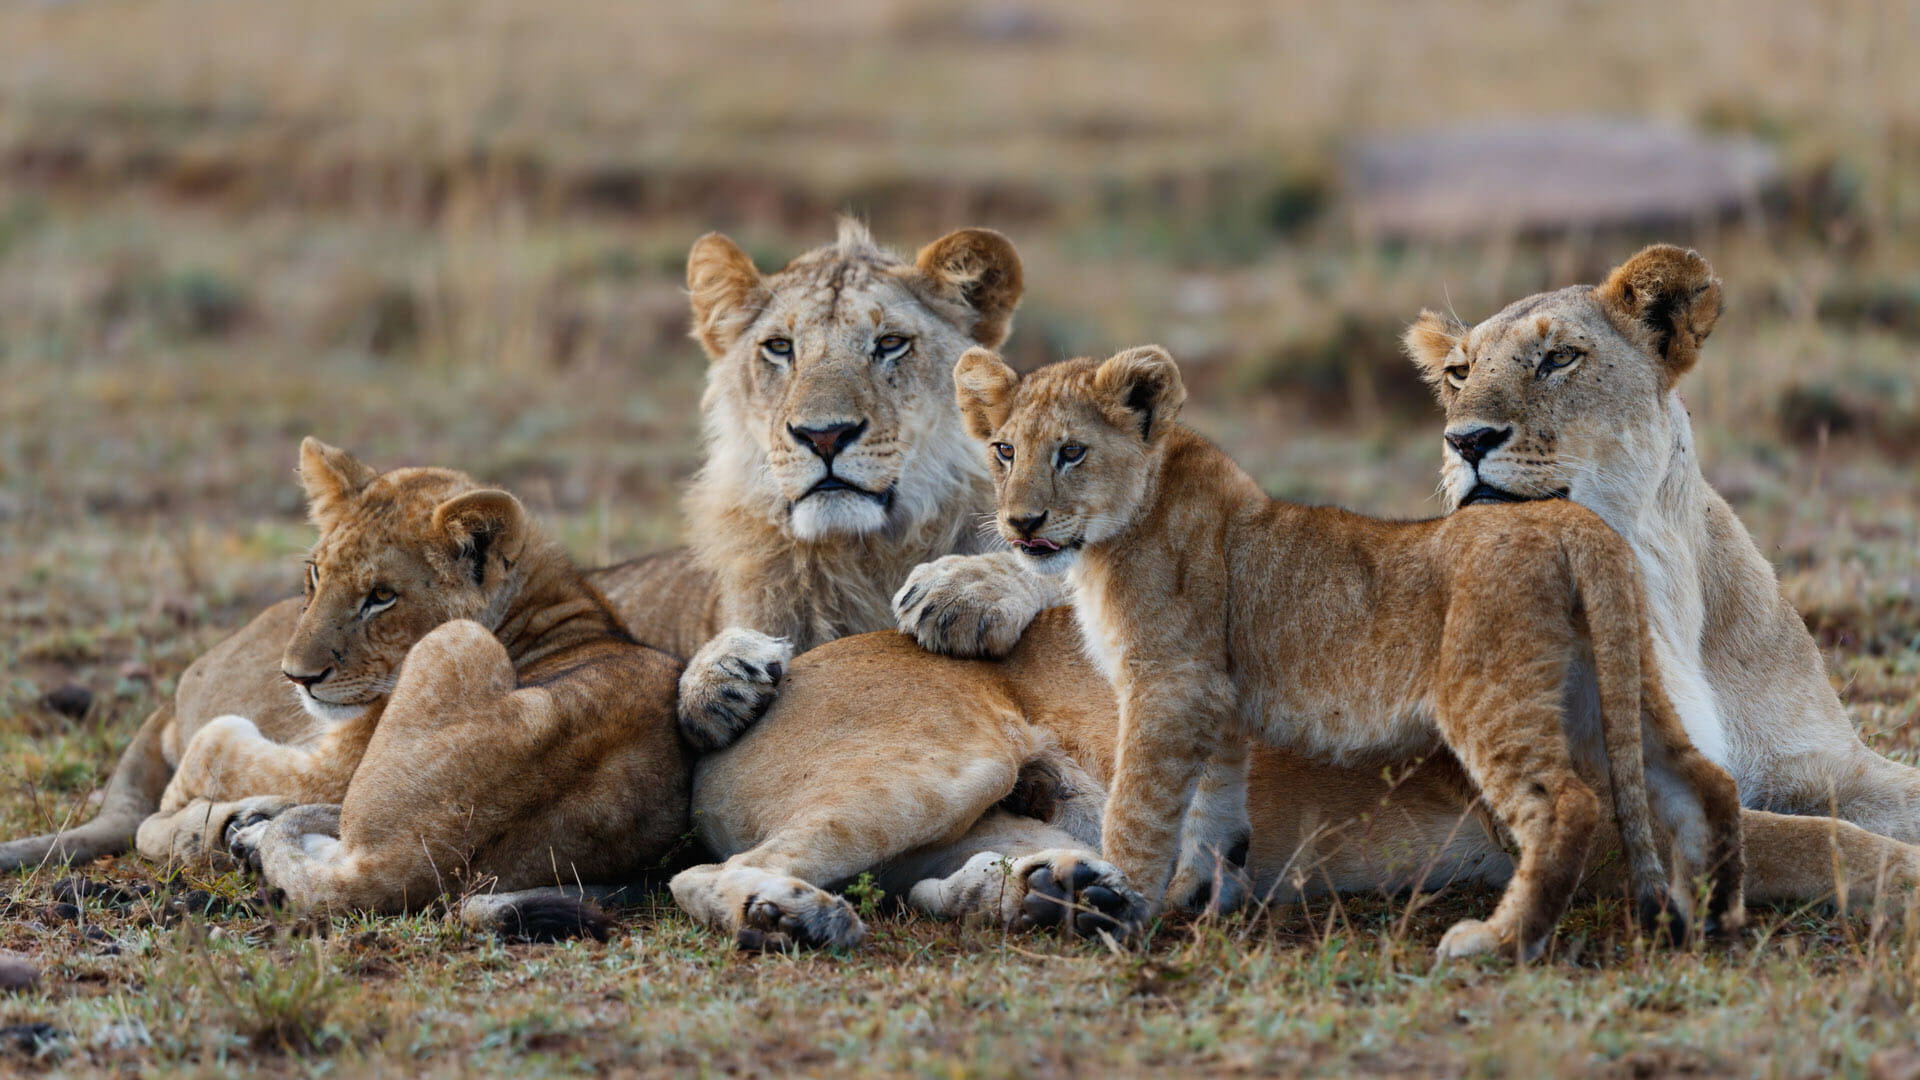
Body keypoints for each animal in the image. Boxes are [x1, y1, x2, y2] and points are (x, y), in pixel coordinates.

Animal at [1, 438, 687, 929]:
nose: (295, 677)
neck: (549, 608)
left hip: (459, 643)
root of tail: (401, 863)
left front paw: (202, 803)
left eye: (381, 596)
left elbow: (220, 753)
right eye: (315, 574)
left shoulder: (336, 761)